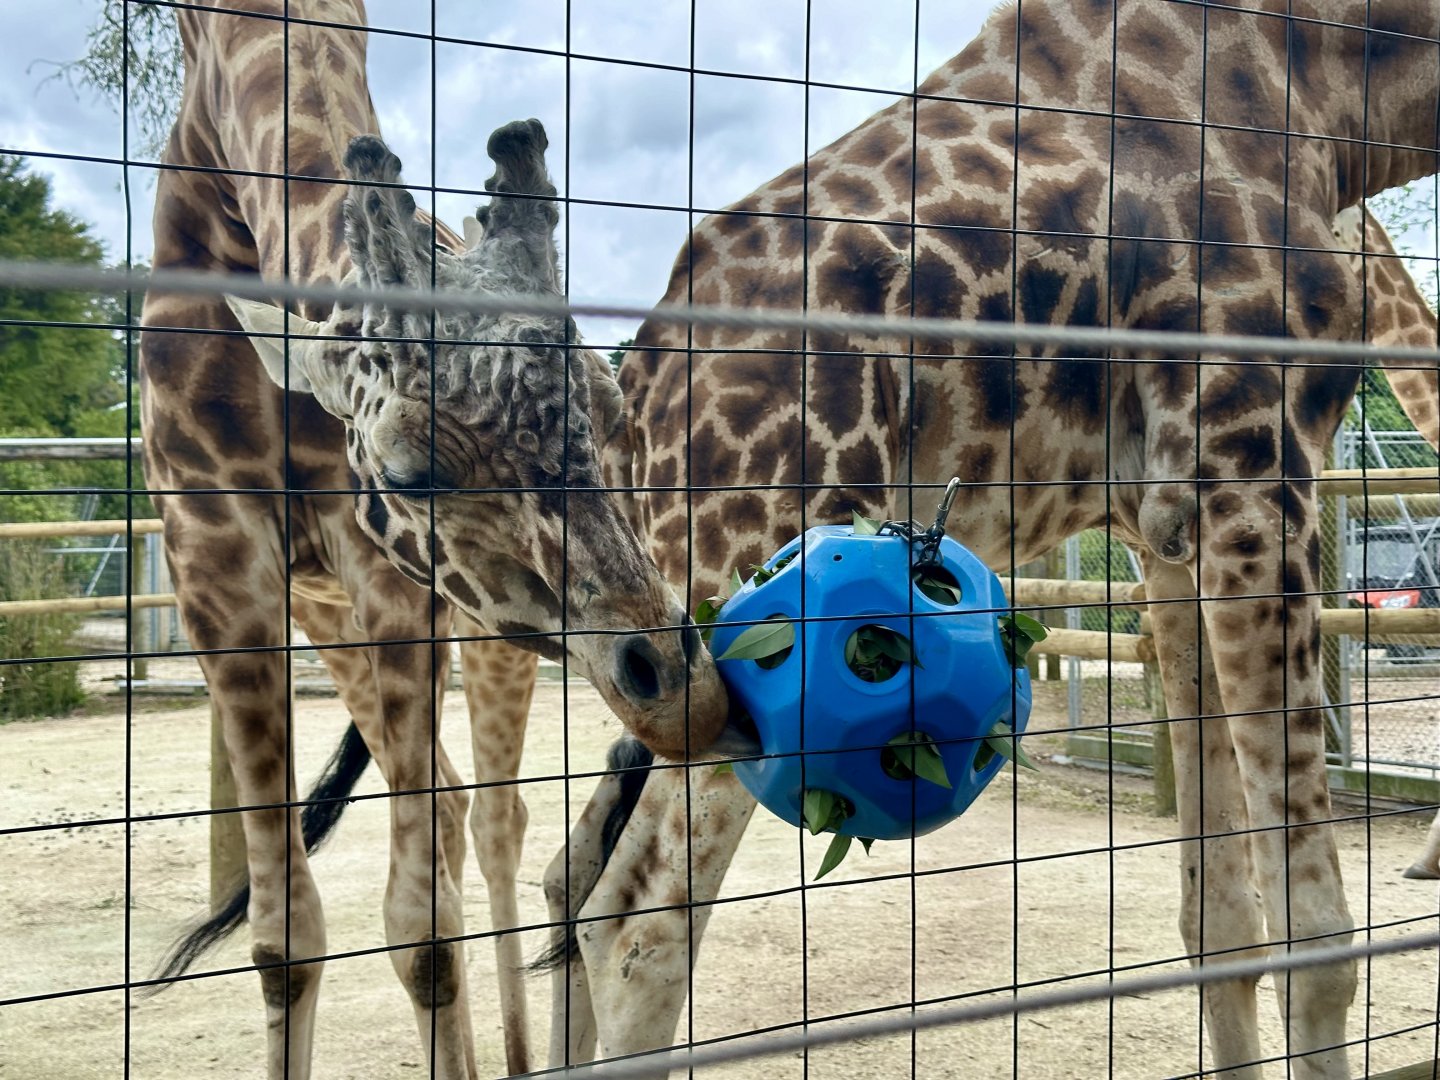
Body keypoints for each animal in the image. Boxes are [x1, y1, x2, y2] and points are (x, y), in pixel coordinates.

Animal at [138, 2, 726, 1077]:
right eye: (413, 467)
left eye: (616, 415)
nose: (686, 692)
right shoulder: (211, 554)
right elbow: (286, 940)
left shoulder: (387, 572)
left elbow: (420, 929)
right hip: (333, 620)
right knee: (453, 818)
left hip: (481, 632)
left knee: (493, 822)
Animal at [516, 3, 1440, 1077]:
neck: (1335, 86)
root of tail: (641, 401)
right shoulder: (1251, 457)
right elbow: (1315, 943)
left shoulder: (1166, 528)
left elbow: (1221, 925)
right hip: (743, 601)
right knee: (636, 925)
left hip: (668, 625)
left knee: (573, 879)